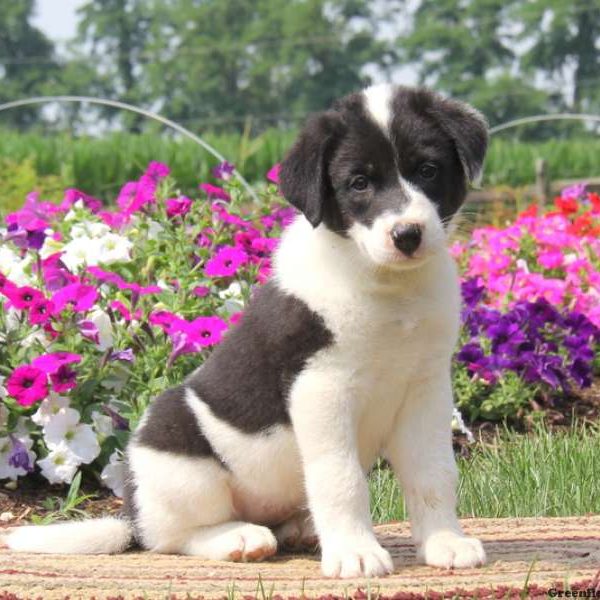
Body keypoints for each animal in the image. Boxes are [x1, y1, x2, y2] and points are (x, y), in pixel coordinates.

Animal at [3, 84, 488, 576]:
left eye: (427, 170)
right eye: (359, 183)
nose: (407, 234)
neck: (384, 285)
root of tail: (131, 516)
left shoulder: (425, 387)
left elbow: (434, 472)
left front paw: (445, 542)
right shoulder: (322, 388)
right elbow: (341, 477)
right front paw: (355, 553)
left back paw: (301, 529)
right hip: (180, 459)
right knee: (171, 538)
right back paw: (239, 538)